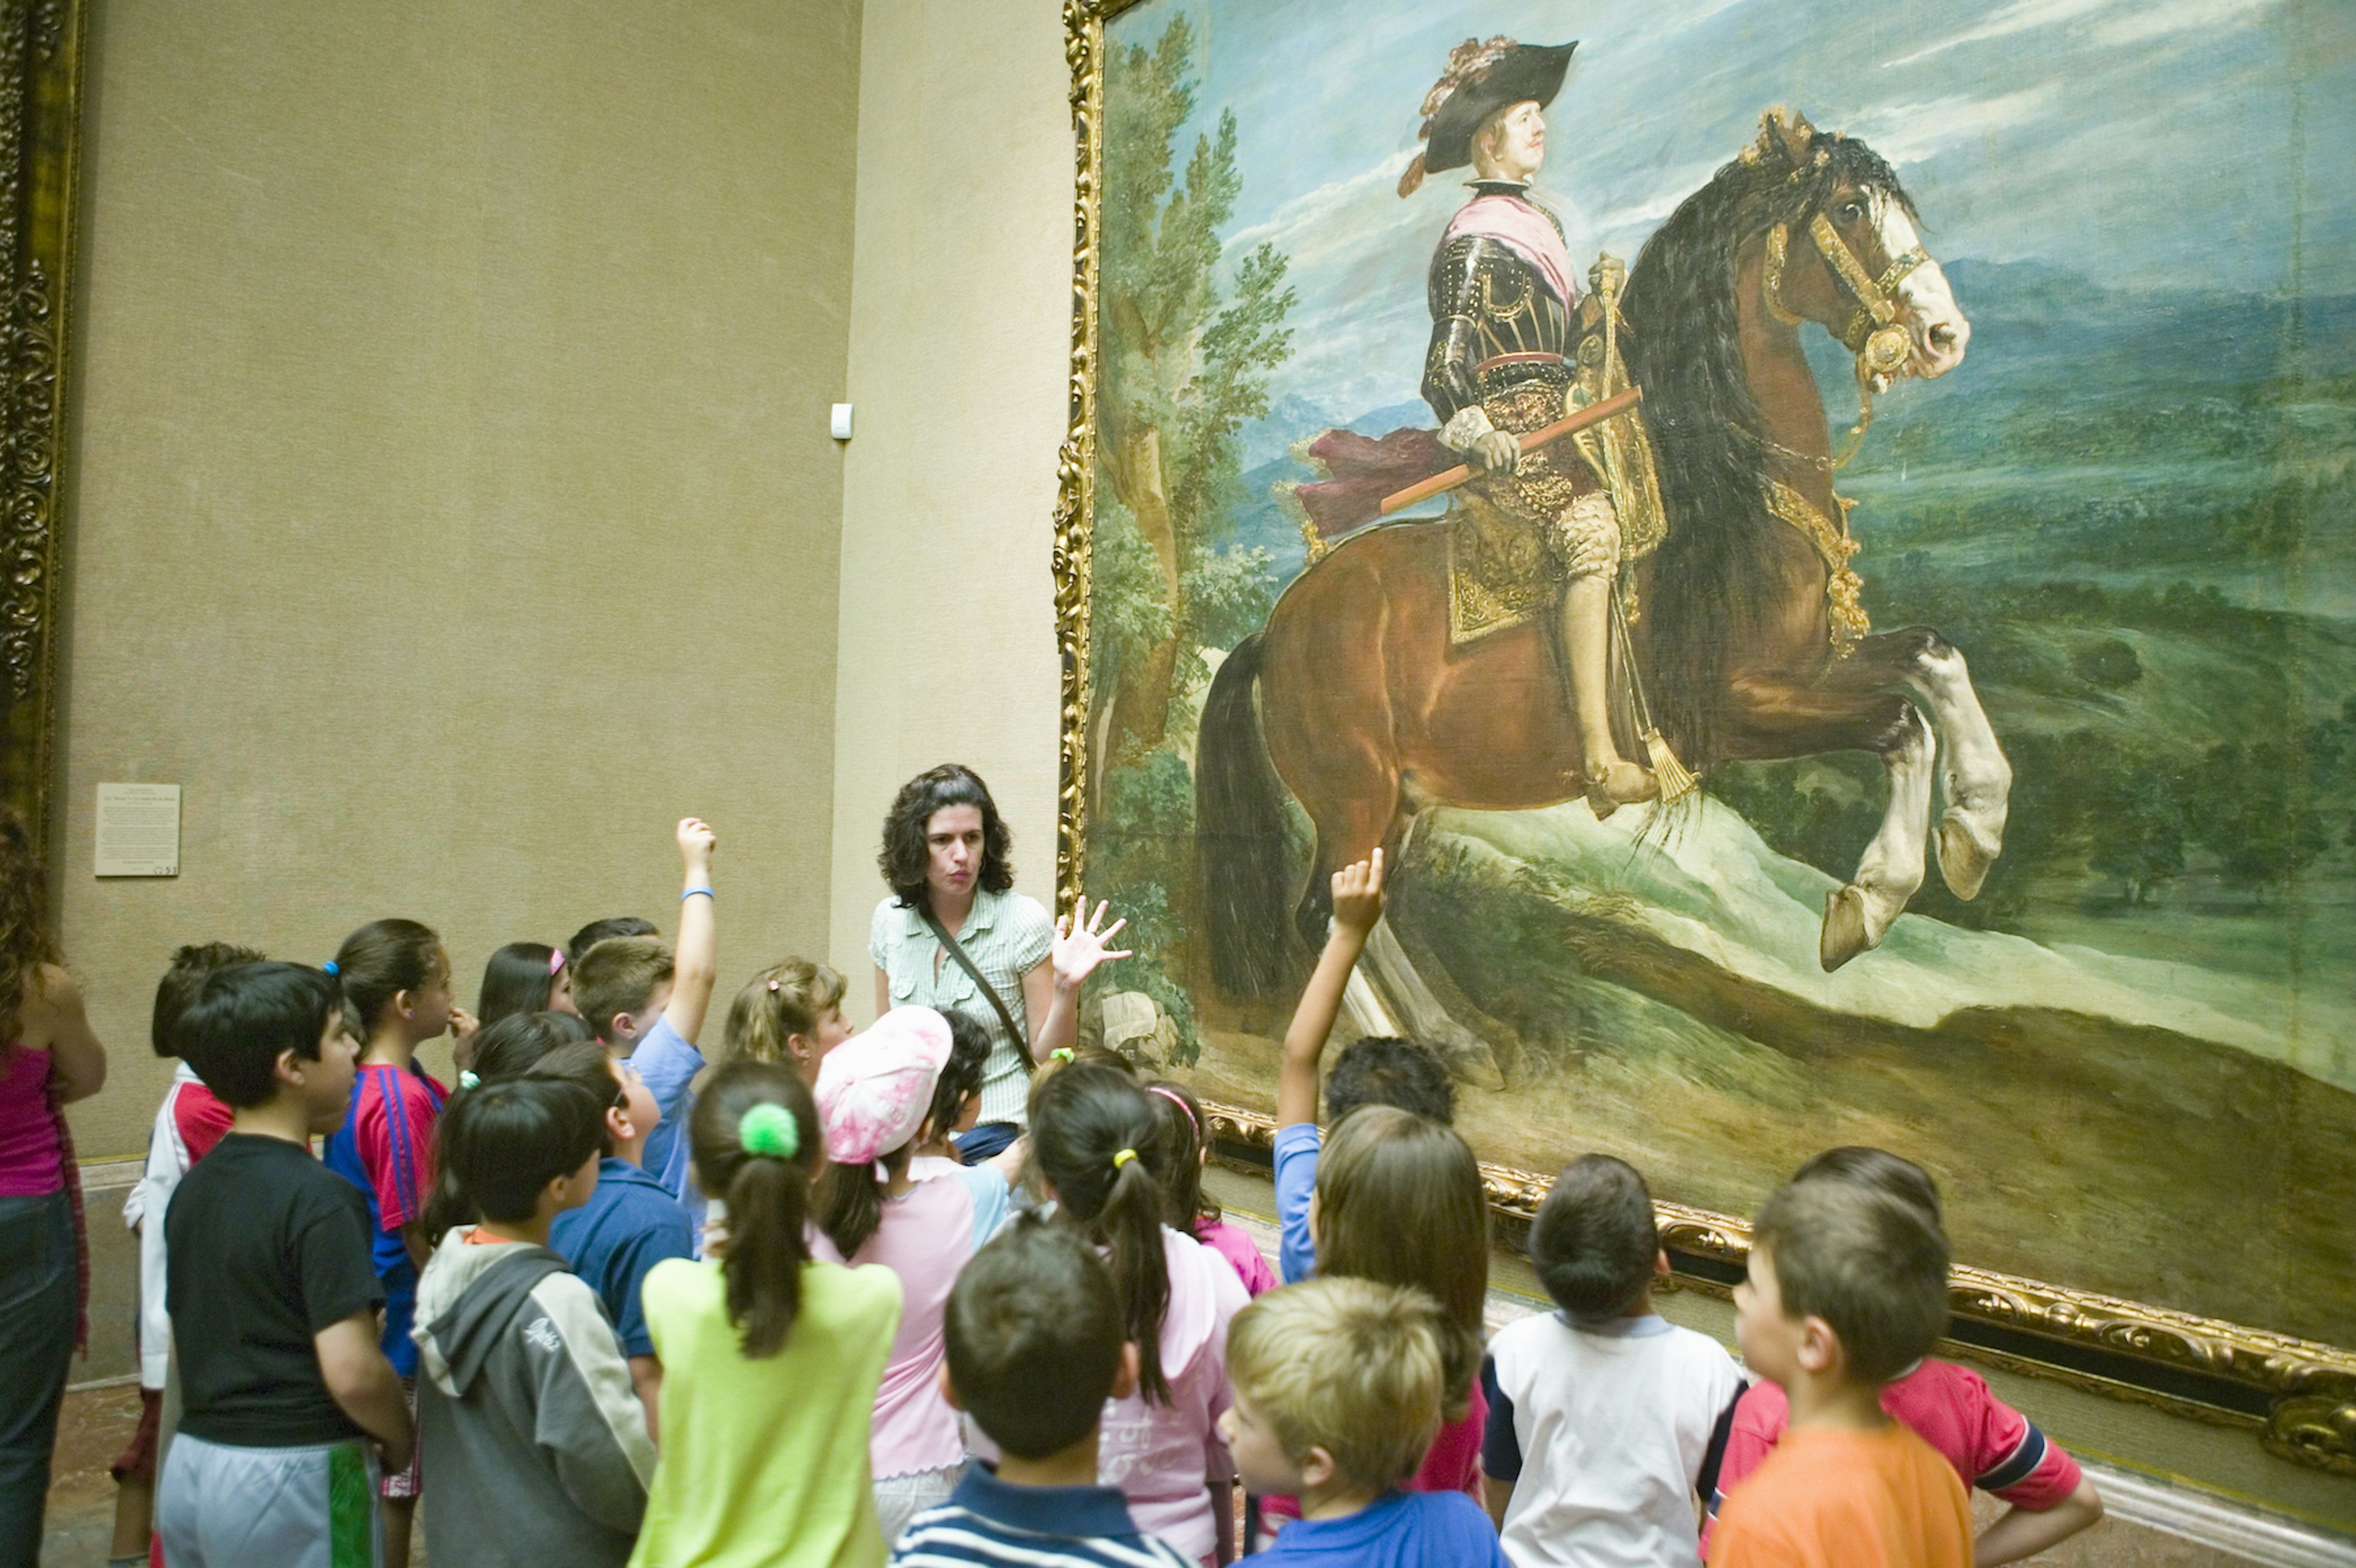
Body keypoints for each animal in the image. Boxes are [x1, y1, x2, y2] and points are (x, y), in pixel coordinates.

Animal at [1196, 110, 2007, 1031]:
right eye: (1848, 209)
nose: (1947, 336)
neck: (1721, 494)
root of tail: (1274, 630)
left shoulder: (1806, 667)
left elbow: (1935, 656)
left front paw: (1977, 829)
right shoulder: (1732, 710)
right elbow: (1900, 725)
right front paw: (1872, 899)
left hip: (1400, 800)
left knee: (1364, 912)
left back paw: (1447, 1033)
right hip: (1354, 799)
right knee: (1318, 918)